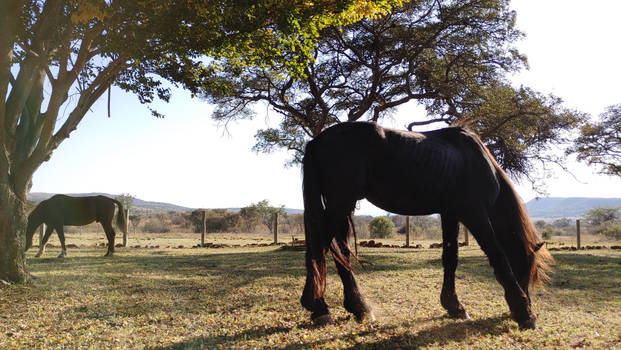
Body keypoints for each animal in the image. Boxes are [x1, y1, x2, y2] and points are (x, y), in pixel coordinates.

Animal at [300, 121, 552, 330]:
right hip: (340, 204)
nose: (516, 311)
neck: (477, 161)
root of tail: (317, 140)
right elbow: (497, 255)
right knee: (320, 248)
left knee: (339, 251)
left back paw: (358, 307)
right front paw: (525, 314)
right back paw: (319, 308)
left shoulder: (450, 214)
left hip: (342, 207)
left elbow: (451, 258)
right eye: (526, 269)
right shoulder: (475, 214)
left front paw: (454, 306)